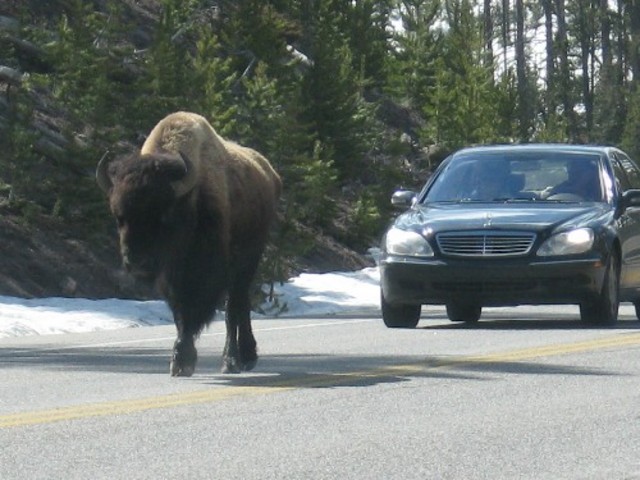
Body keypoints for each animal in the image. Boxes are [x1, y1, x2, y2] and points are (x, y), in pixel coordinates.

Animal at [97, 111, 281, 376]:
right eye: (118, 215)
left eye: (164, 214)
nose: (137, 262)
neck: (191, 200)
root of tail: (269, 173)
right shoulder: (171, 278)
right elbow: (180, 313)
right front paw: (180, 361)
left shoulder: (211, 273)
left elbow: (204, 309)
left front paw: (185, 359)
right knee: (239, 303)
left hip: (249, 259)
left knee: (236, 305)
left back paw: (235, 360)